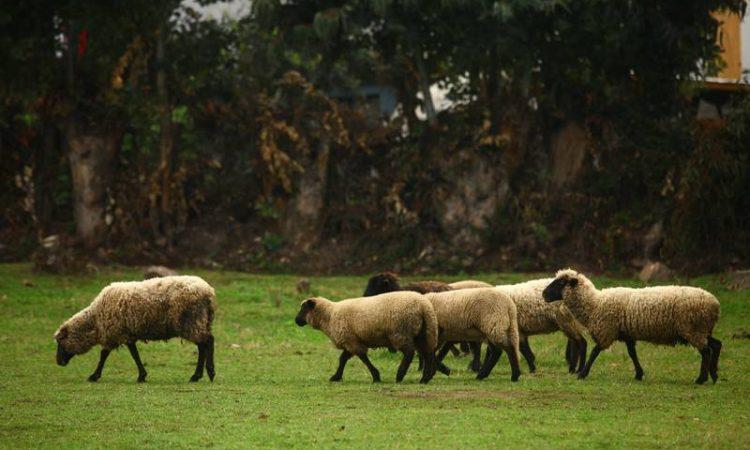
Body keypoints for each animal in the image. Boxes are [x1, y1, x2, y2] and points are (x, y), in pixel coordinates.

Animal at [52, 274, 217, 384]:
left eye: (60, 342)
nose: (58, 362)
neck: (95, 321)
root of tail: (208, 292)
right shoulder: (125, 333)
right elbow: (132, 353)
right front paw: (142, 375)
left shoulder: (115, 332)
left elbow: (106, 355)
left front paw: (94, 376)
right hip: (201, 321)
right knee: (206, 343)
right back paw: (203, 374)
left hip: (191, 322)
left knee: (206, 342)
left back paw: (204, 373)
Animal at [296, 292, 440, 384]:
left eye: (304, 308)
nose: (296, 320)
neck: (330, 316)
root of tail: (424, 306)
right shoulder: (351, 340)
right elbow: (343, 359)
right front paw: (336, 376)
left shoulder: (351, 341)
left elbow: (363, 359)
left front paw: (376, 377)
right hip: (425, 333)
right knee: (428, 353)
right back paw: (425, 378)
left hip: (401, 332)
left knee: (409, 353)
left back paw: (400, 375)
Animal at [544, 268, 724, 384]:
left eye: (561, 283)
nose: (544, 295)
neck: (594, 304)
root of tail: (715, 304)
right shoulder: (626, 334)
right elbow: (632, 354)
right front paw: (639, 374)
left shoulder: (606, 330)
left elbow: (595, 352)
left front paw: (582, 373)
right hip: (701, 329)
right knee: (716, 345)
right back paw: (714, 374)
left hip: (693, 328)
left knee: (706, 351)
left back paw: (701, 379)